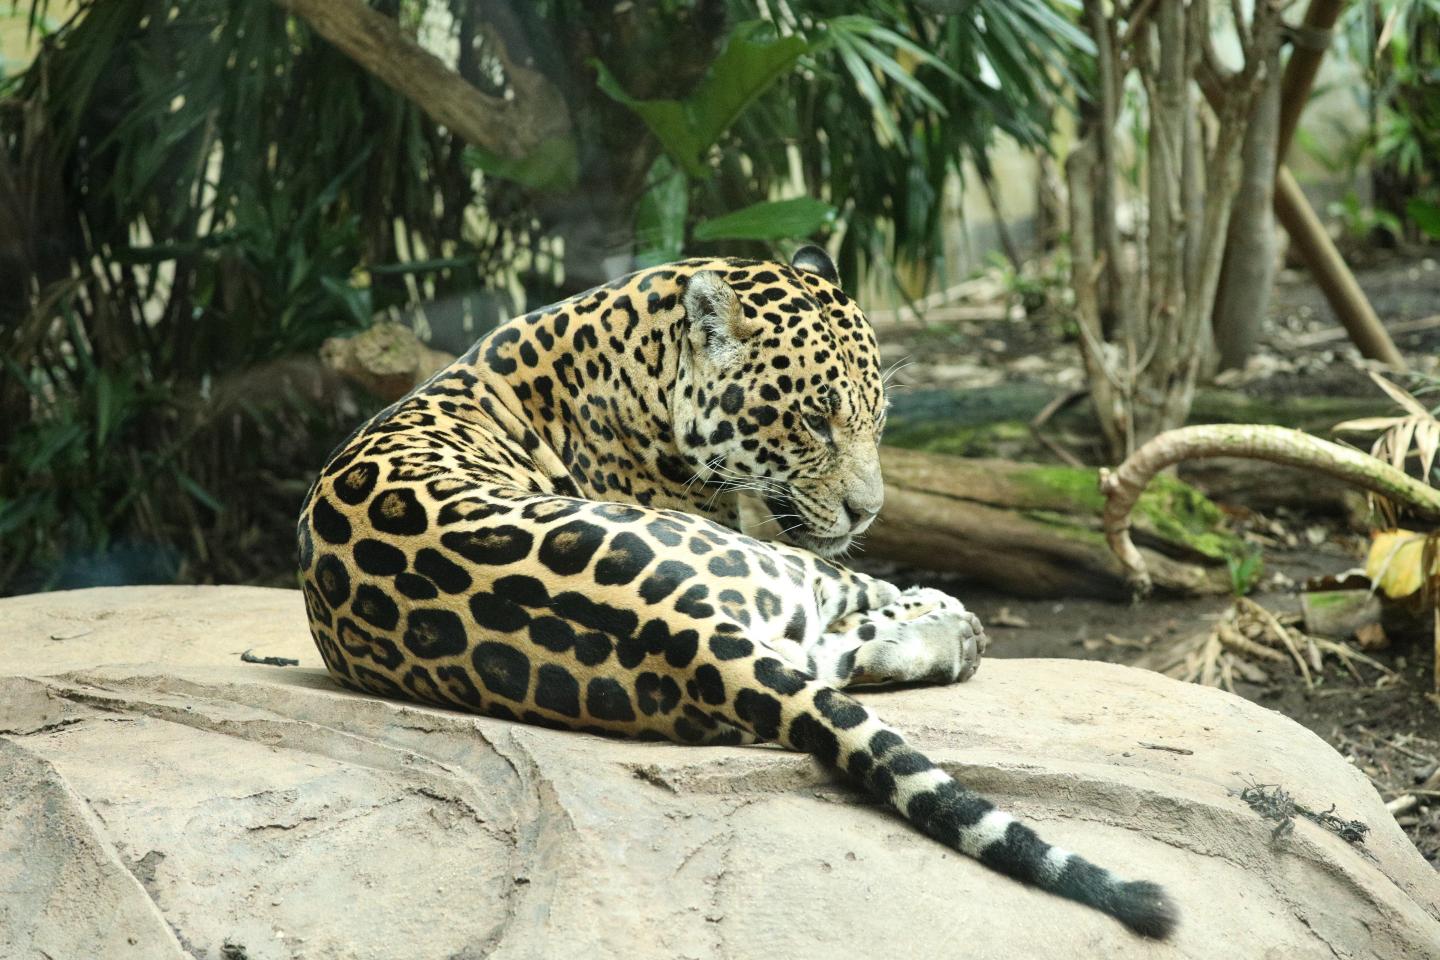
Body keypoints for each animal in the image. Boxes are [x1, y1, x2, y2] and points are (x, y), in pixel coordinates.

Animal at [297, 246, 1177, 938]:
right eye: (815, 421)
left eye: (878, 417)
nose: (870, 510)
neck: (640, 346)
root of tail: (675, 626)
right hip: (772, 564)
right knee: (852, 618)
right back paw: (954, 623)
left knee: (830, 657)